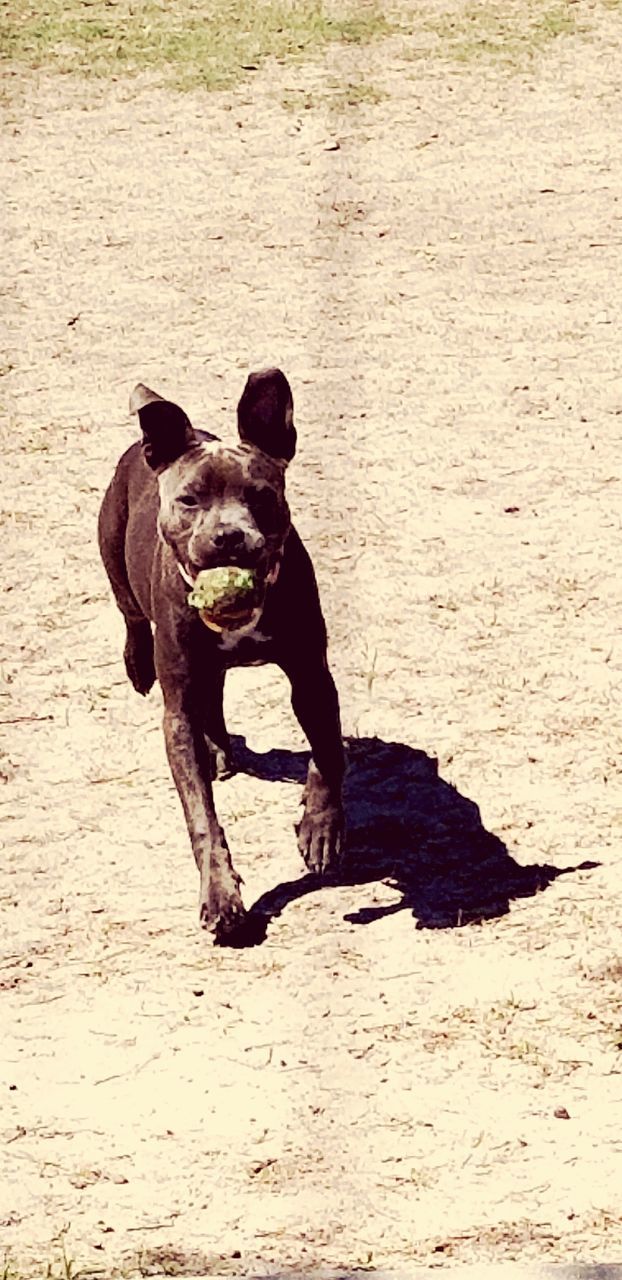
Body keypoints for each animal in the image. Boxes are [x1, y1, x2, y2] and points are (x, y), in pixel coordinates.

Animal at [97, 368, 345, 942]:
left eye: (261, 495)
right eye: (190, 500)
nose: (229, 536)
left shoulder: (311, 677)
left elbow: (327, 752)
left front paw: (319, 827)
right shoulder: (178, 709)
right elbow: (200, 817)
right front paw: (221, 896)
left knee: (216, 692)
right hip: (113, 557)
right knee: (131, 615)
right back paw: (138, 665)